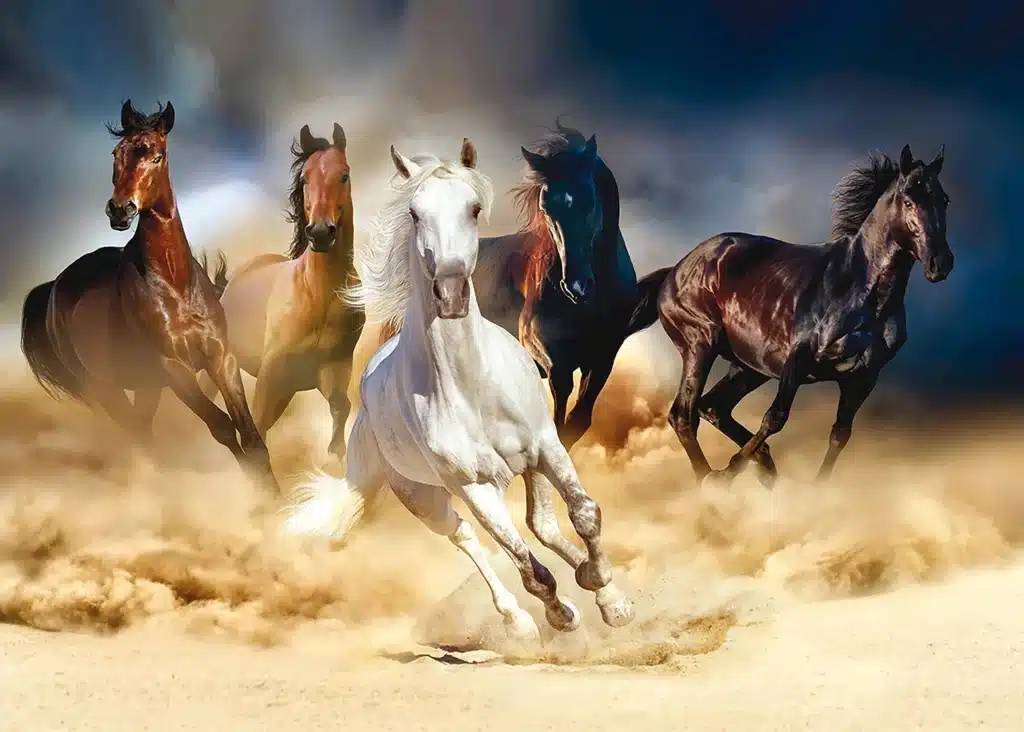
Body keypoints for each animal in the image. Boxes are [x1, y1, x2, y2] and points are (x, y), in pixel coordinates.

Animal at [20, 100, 279, 496]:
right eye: (117, 153)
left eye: (157, 156)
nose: (120, 210)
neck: (175, 284)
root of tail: (53, 287)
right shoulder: (174, 368)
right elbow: (222, 428)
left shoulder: (221, 358)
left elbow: (250, 436)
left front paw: (278, 500)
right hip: (106, 389)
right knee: (139, 436)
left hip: (146, 387)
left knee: (143, 431)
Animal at [200, 123, 363, 460]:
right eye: (305, 179)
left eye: (343, 175)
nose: (320, 232)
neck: (319, 295)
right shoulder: (272, 373)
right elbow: (257, 428)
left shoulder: (333, 368)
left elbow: (341, 408)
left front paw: (335, 456)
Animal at [281, 138, 634, 641]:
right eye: (414, 212)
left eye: (474, 208)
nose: (450, 295)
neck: (474, 388)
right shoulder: (474, 486)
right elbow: (527, 566)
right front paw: (560, 615)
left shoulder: (546, 446)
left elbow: (584, 514)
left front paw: (610, 595)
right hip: (425, 498)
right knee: (467, 538)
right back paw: (519, 621)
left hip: (529, 465)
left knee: (542, 524)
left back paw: (589, 582)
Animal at [351, 122, 660, 451]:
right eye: (546, 207)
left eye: (589, 201)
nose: (575, 285)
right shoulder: (553, 360)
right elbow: (558, 425)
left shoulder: (603, 359)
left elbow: (577, 422)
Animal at [628, 144, 953, 487]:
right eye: (908, 200)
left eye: (944, 199)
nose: (941, 263)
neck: (862, 292)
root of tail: (673, 271)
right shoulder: (798, 359)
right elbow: (774, 418)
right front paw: (728, 474)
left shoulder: (863, 377)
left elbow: (840, 434)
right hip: (700, 345)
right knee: (683, 414)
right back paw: (711, 479)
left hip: (748, 366)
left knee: (713, 407)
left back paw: (763, 465)